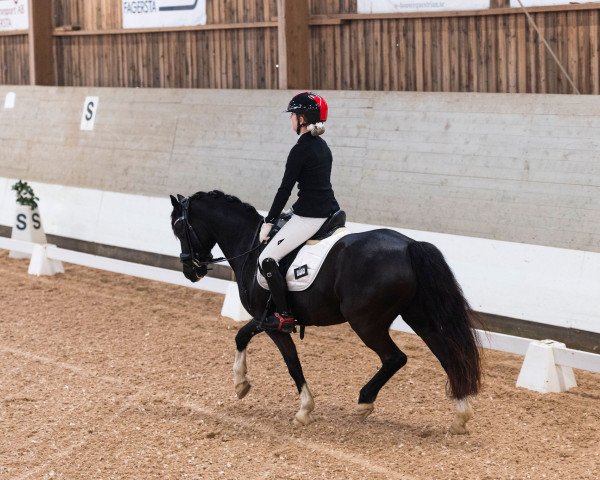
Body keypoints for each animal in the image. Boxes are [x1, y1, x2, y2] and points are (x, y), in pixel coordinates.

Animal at [169, 191, 482, 436]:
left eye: (178, 227)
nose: (190, 271)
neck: (251, 246)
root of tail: (408, 246)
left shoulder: (271, 322)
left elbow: (287, 360)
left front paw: (301, 409)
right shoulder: (266, 320)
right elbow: (243, 337)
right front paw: (242, 385)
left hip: (366, 322)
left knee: (395, 357)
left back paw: (365, 401)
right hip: (418, 316)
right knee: (447, 354)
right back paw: (460, 417)